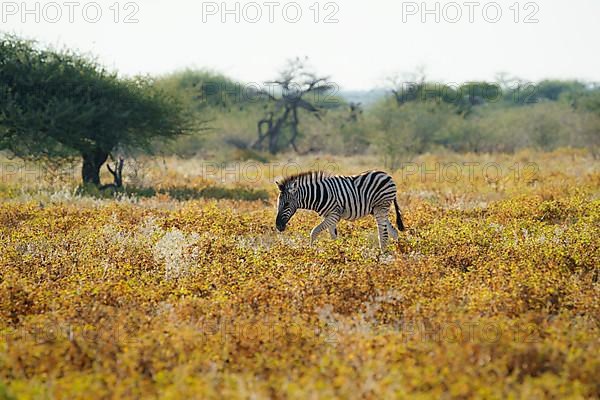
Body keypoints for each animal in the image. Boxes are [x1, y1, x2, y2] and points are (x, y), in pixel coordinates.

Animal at [276, 170, 406, 250]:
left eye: (286, 204)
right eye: (278, 204)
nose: (278, 226)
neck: (319, 194)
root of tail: (388, 176)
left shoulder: (334, 215)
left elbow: (314, 232)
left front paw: (311, 251)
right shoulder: (328, 216)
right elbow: (333, 236)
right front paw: (336, 252)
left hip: (381, 207)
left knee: (383, 233)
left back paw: (383, 255)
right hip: (376, 210)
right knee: (393, 231)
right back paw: (398, 250)